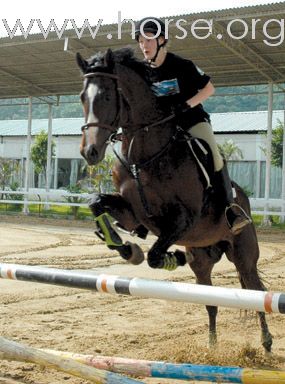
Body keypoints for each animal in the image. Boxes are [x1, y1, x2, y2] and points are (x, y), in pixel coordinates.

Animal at [76, 48, 272, 354]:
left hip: (243, 253)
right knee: (211, 300)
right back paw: (212, 348)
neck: (143, 155)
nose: (90, 152)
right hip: (201, 259)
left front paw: (169, 257)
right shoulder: (134, 213)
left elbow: (155, 255)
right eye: (82, 97)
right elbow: (97, 203)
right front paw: (126, 248)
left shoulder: (183, 219)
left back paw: (266, 342)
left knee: (255, 290)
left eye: (107, 96)